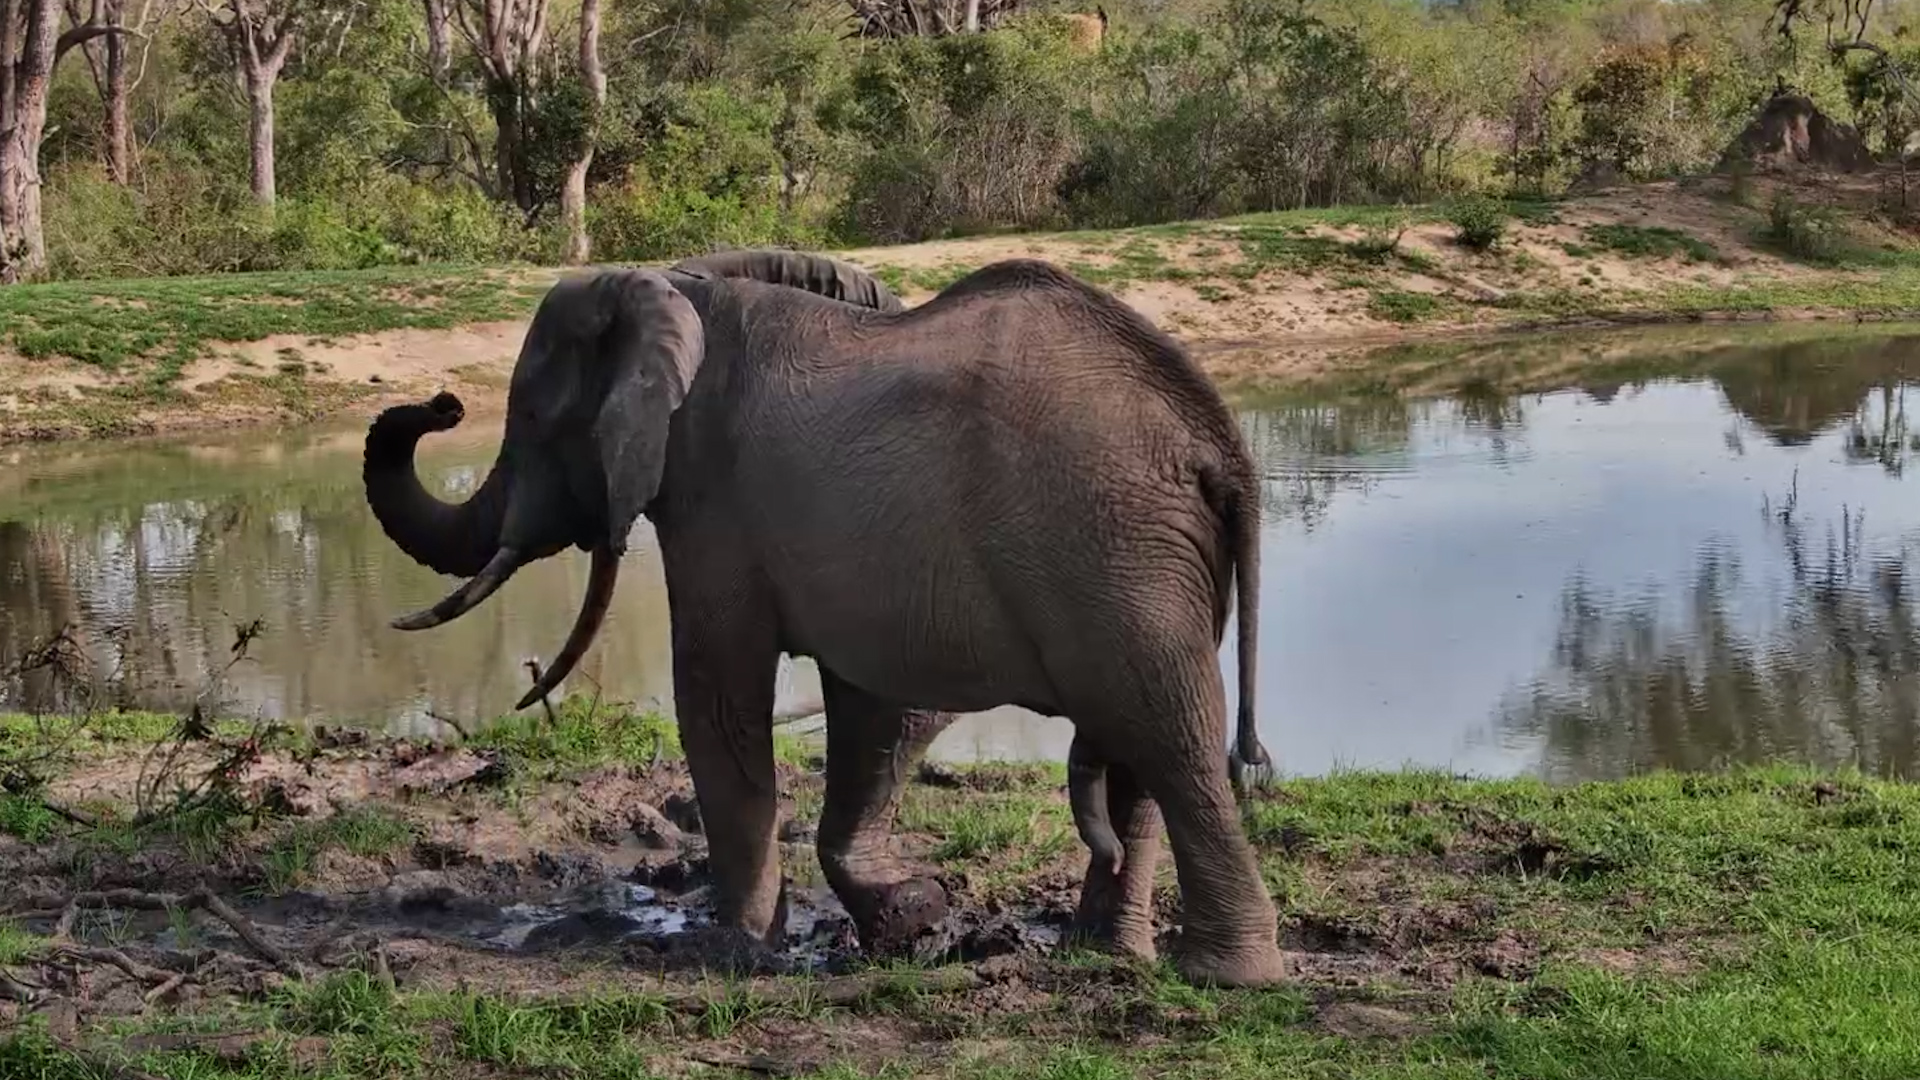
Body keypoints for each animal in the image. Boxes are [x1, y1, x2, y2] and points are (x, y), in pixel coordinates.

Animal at [359, 249, 1285, 986]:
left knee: (1168, 735)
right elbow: (880, 707)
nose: (440, 404)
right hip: (1145, 555)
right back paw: (1110, 954)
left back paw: (1227, 977)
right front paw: (913, 915)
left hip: (1113, 542)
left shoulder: (713, 504)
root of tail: (1219, 443)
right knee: (1140, 747)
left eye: (530, 419)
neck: (677, 287)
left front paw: (734, 949)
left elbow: (719, 698)